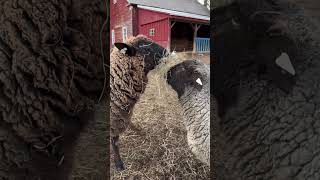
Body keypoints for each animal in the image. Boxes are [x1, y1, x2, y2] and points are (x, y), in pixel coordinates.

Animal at [110, 34, 169, 170]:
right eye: (146, 49)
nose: (167, 52)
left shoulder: (120, 115)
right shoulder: (113, 118)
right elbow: (115, 141)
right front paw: (118, 163)